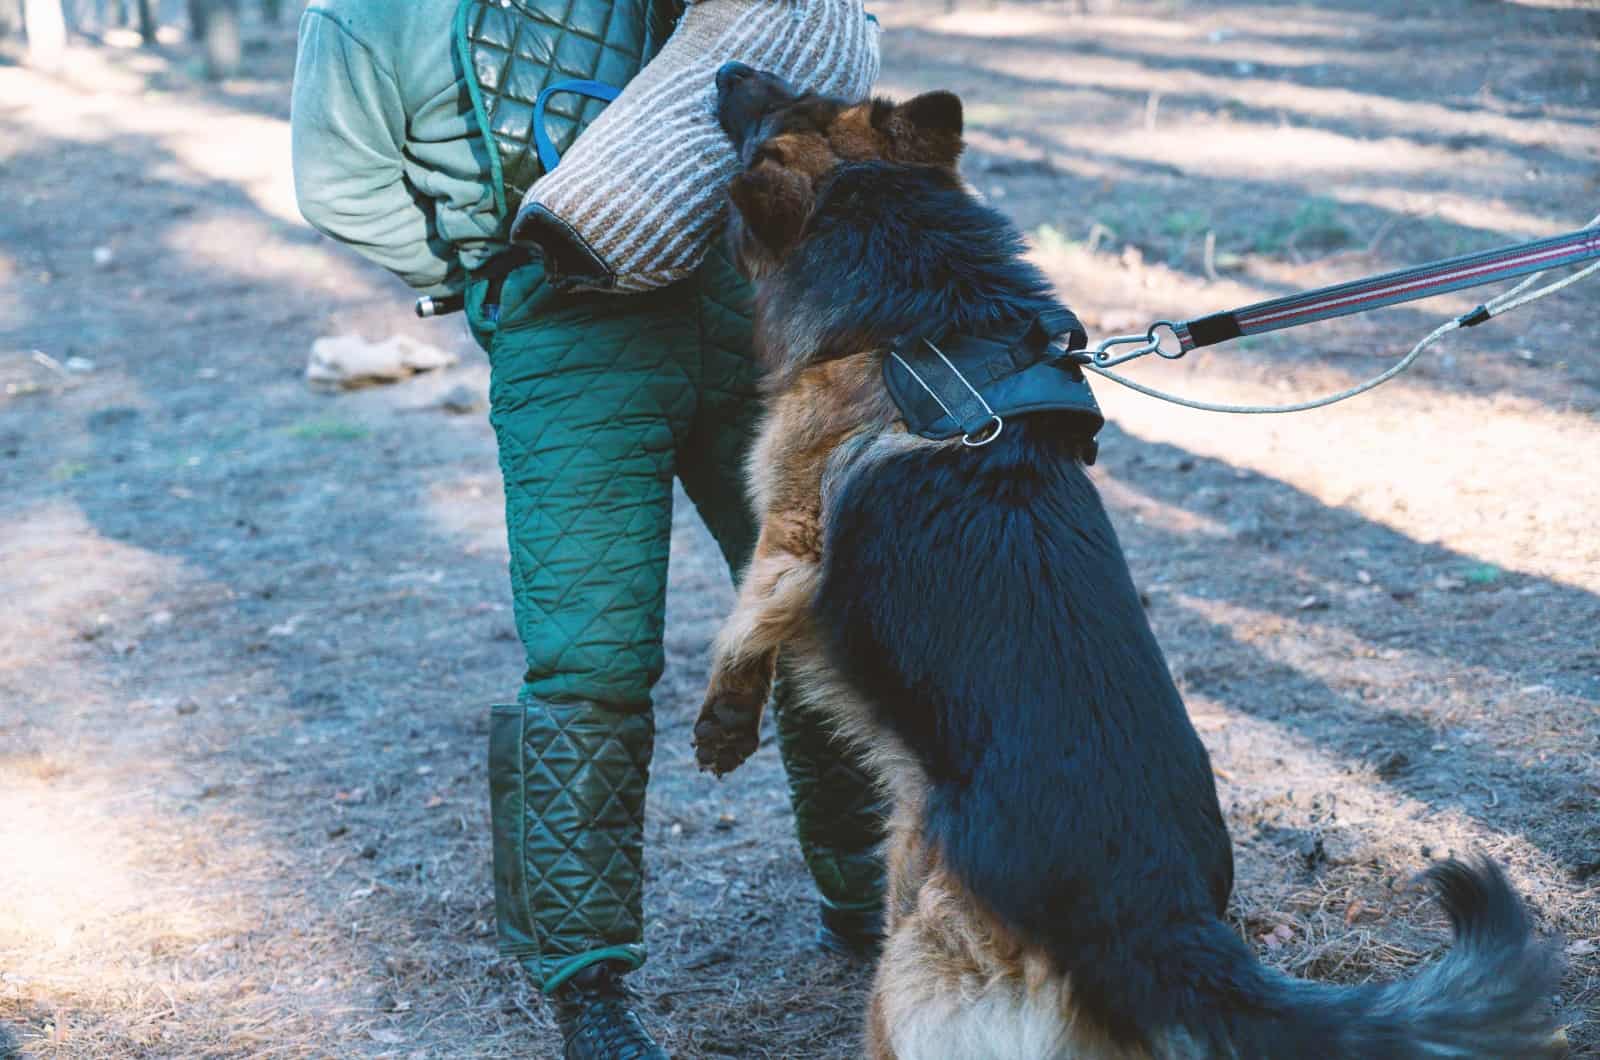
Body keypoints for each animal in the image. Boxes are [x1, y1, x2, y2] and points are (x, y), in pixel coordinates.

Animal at [691, 62, 1561, 1056]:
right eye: (797, 93)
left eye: (769, 114)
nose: (726, 70)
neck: (924, 303)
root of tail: (1161, 912)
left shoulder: (790, 530)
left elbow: (745, 617)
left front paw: (723, 717)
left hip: (909, 945)